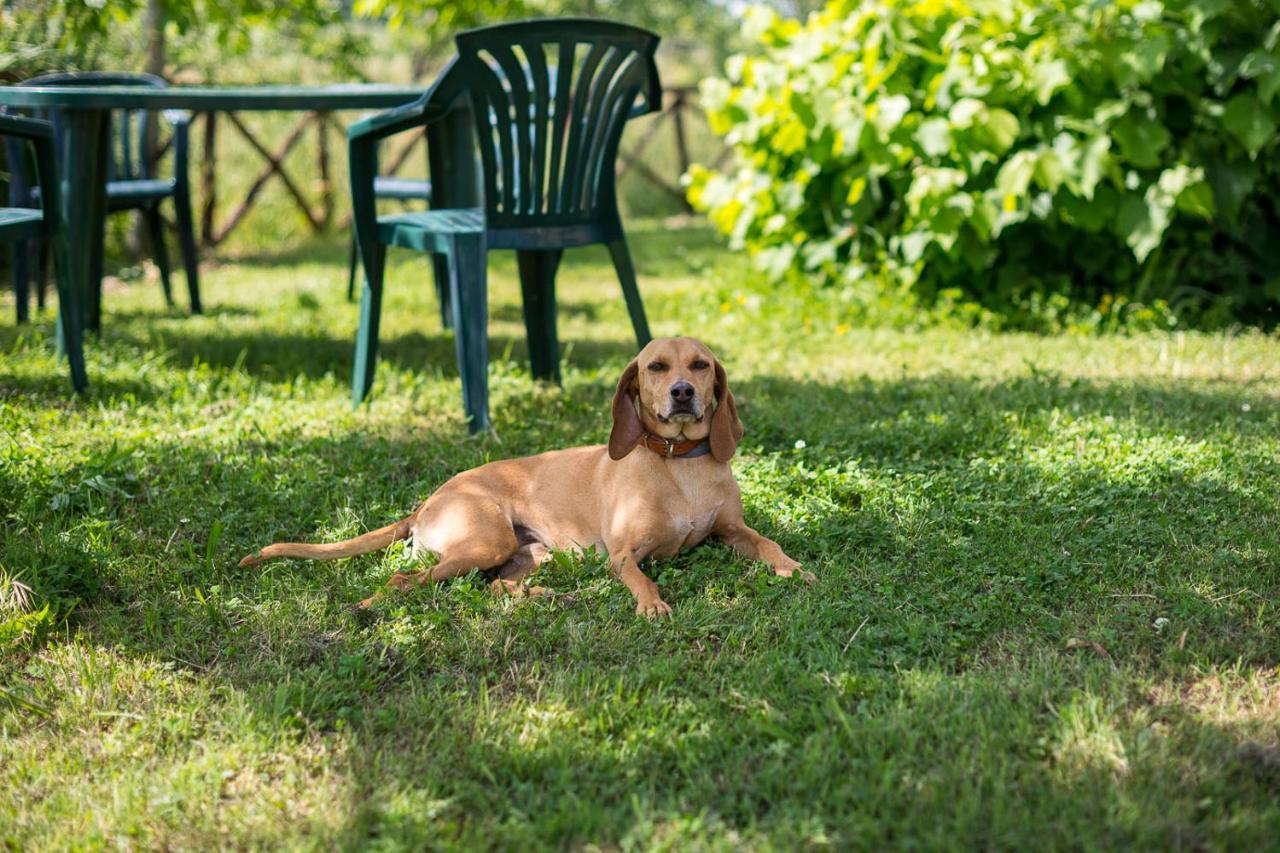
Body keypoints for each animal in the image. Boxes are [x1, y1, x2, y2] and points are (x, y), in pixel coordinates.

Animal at [240, 335, 808, 614]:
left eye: (700, 365)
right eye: (656, 368)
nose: (683, 393)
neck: (678, 461)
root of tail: (425, 503)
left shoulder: (732, 531)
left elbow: (769, 543)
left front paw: (794, 569)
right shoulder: (624, 554)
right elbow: (642, 578)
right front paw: (652, 605)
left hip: (529, 552)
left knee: (493, 587)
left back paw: (547, 597)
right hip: (485, 541)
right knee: (406, 580)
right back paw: (365, 607)